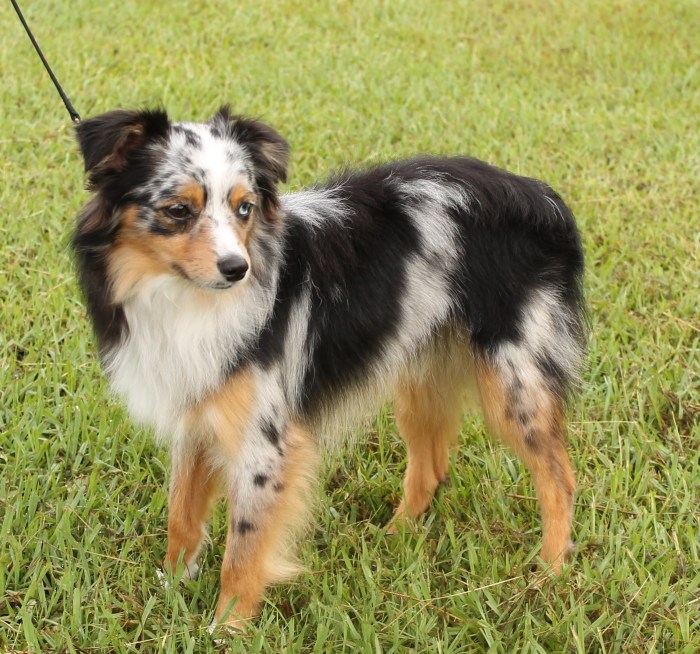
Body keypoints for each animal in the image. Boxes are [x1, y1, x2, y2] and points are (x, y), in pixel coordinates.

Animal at [72, 107, 584, 632]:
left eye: (244, 209)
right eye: (178, 211)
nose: (237, 268)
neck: (186, 299)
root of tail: (539, 196)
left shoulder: (265, 442)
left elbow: (244, 547)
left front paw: (227, 625)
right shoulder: (197, 415)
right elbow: (181, 512)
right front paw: (172, 585)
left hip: (516, 381)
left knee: (560, 479)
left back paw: (551, 570)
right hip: (421, 372)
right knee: (431, 467)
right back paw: (396, 535)